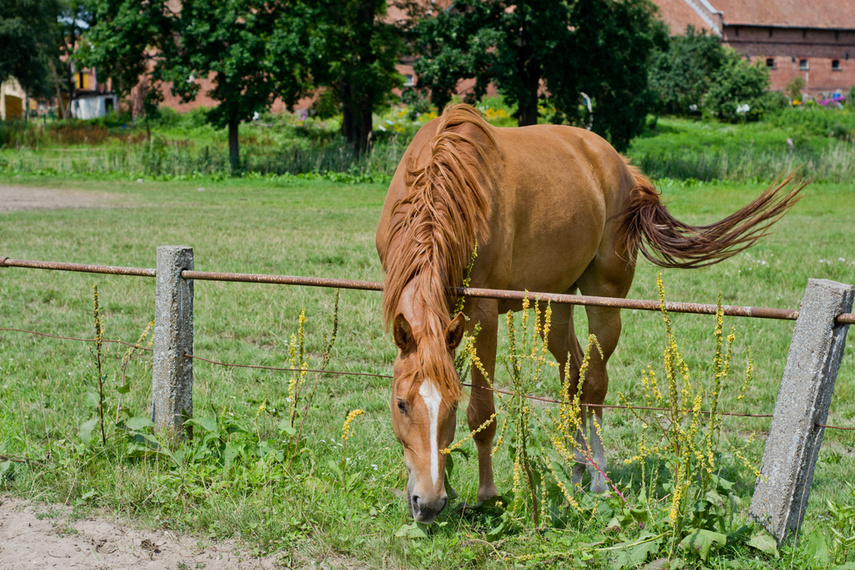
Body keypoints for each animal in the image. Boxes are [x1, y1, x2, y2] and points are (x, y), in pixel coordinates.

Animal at [374, 103, 804, 524]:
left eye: (451, 403)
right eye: (401, 403)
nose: (428, 504)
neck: (446, 185)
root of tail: (620, 166)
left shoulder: (484, 312)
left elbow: (483, 413)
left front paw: (487, 496)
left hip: (604, 299)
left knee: (594, 383)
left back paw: (597, 478)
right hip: (554, 302)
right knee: (573, 376)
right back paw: (577, 469)